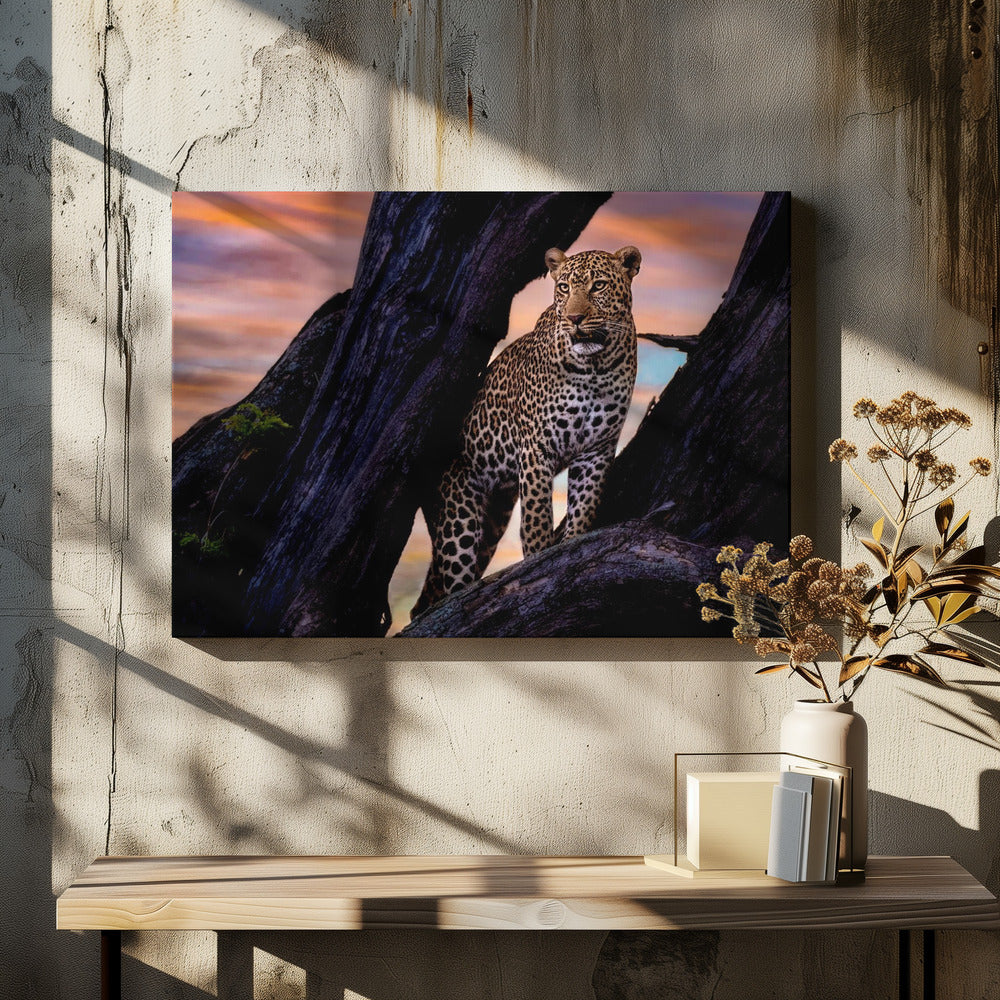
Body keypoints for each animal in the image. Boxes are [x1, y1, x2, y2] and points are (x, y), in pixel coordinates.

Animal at [412, 243, 642, 616]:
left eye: (599, 286)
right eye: (564, 287)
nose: (575, 319)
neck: (595, 368)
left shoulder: (597, 450)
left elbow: (584, 507)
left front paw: (571, 546)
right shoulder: (537, 446)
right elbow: (537, 517)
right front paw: (538, 561)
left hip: (493, 520)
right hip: (457, 513)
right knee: (453, 579)